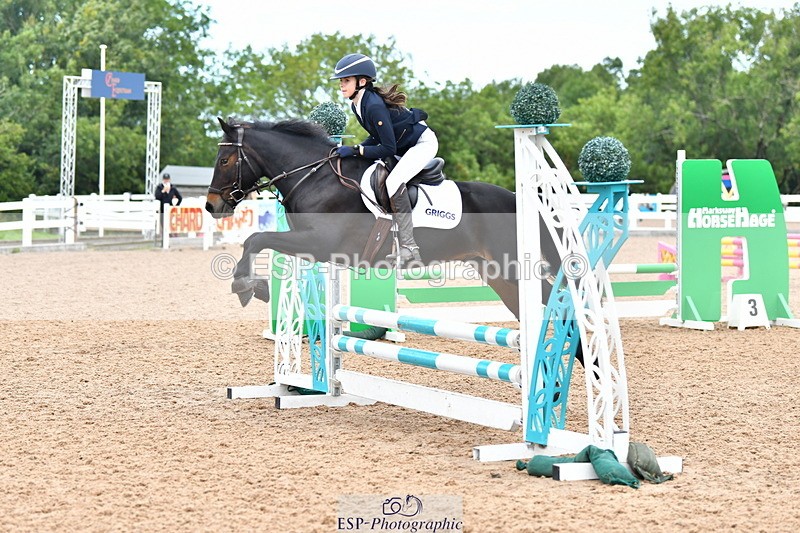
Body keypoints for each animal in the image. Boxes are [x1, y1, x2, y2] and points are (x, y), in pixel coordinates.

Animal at [205, 117, 561, 320]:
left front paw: (245, 285)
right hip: (496, 273)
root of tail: (517, 199)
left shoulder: (319, 242)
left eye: (224, 160)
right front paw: (254, 285)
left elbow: (256, 238)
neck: (315, 177)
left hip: (512, 268)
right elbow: (258, 241)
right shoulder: (311, 246)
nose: (211, 206)